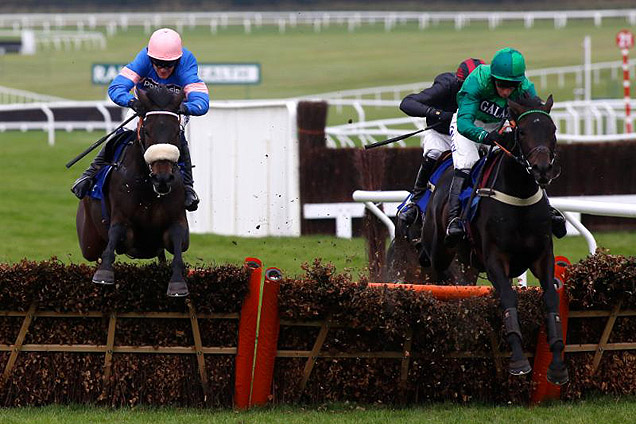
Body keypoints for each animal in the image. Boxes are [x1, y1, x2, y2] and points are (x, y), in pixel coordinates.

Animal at [76, 85, 190, 296]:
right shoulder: (122, 221)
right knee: (94, 253)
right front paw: (104, 273)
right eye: (146, 131)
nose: (162, 178)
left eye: (176, 133)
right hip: (88, 241)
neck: (149, 188)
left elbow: (178, 245)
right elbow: (115, 236)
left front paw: (178, 282)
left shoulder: (177, 221)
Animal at [420, 95, 568, 384]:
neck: (519, 197)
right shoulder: (495, 259)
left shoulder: (543, 256)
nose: (543, 169)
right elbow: (509, 300)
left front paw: (556, 365)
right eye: (522, 132)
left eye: (553, 129)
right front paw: (519, 361)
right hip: (439, 249)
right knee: (437, 274)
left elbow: (550, 300)